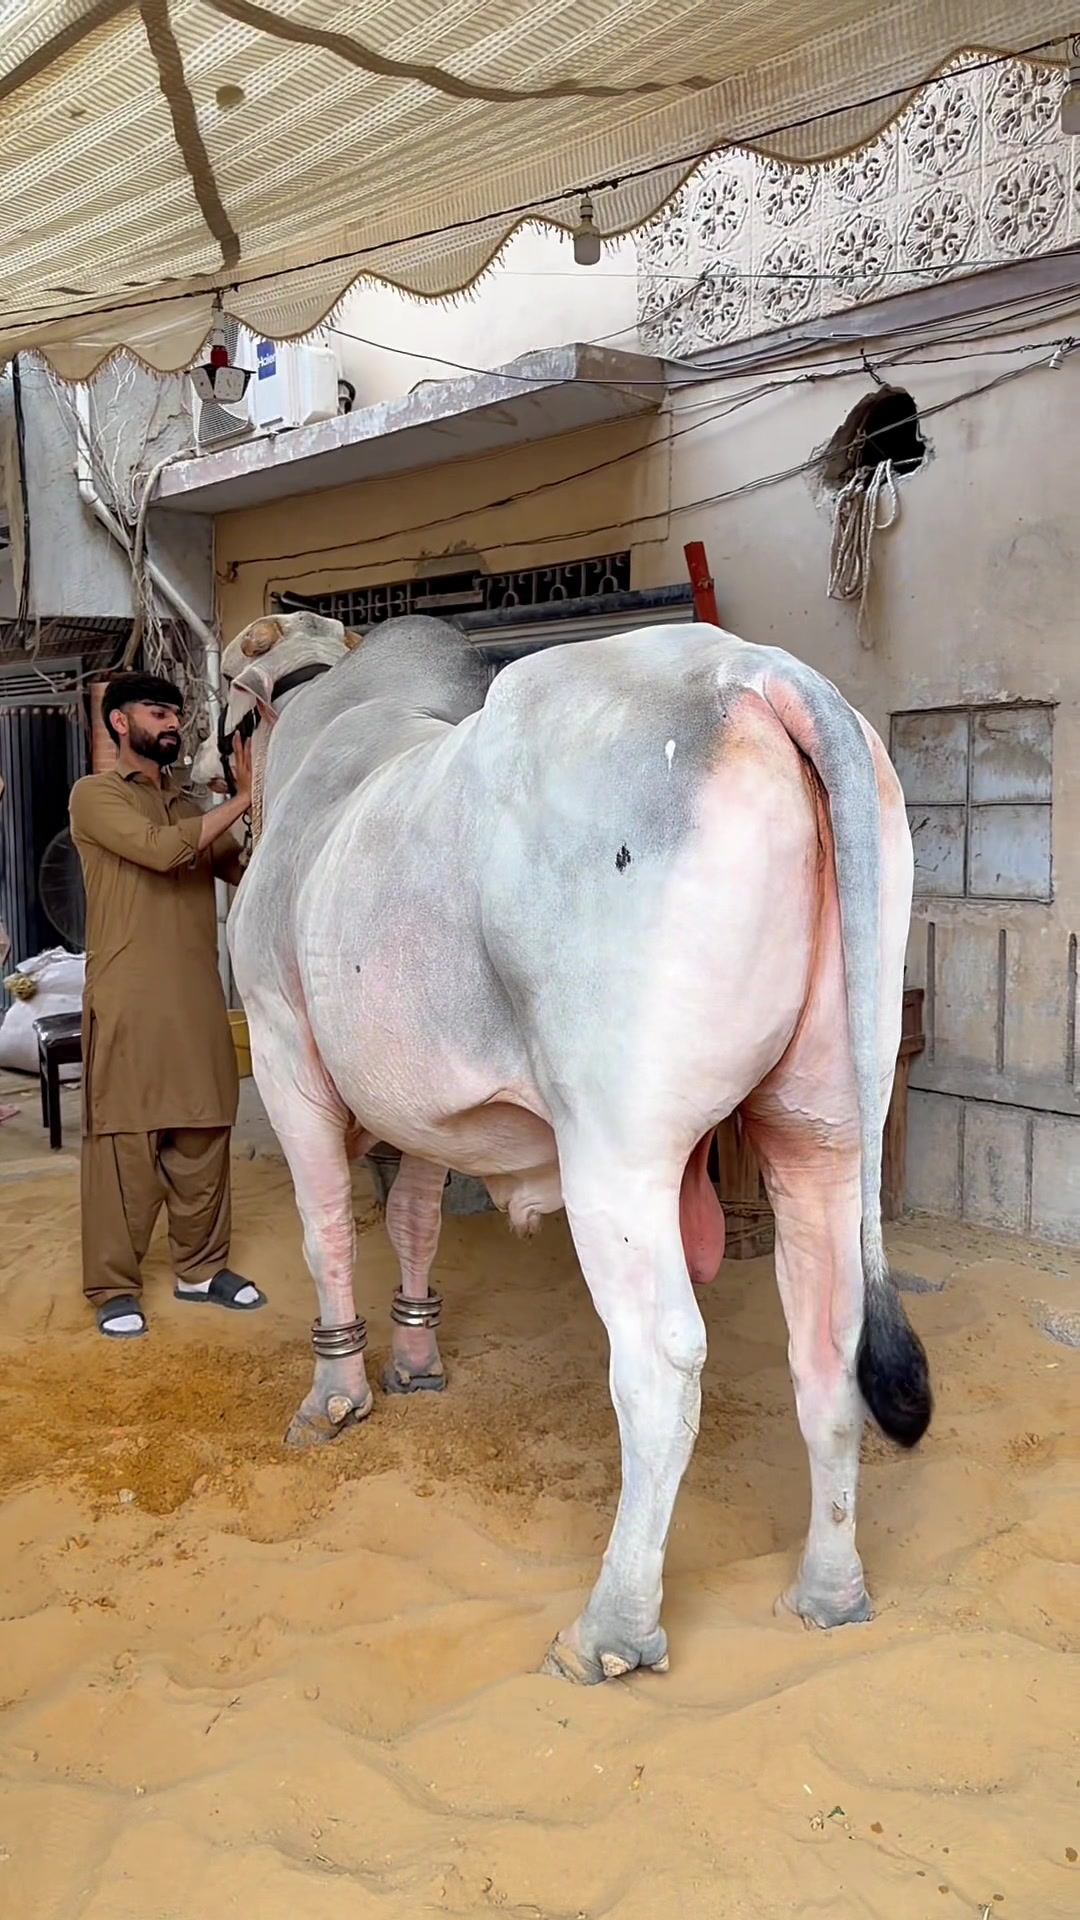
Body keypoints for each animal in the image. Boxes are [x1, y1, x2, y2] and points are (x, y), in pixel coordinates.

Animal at [211, 607, 931, 1684]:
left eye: (219, 713)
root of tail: (758, 675)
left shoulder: (283, 1047)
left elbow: (326, 1227)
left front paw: (337, 1393)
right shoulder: (426, 1105)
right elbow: (416, 1217)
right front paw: (416, 1360)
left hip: (617, 1154)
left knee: (662, 1368)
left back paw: (613, 1627)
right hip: (824, 1124)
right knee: (827, 1341)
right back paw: (828, 1592)